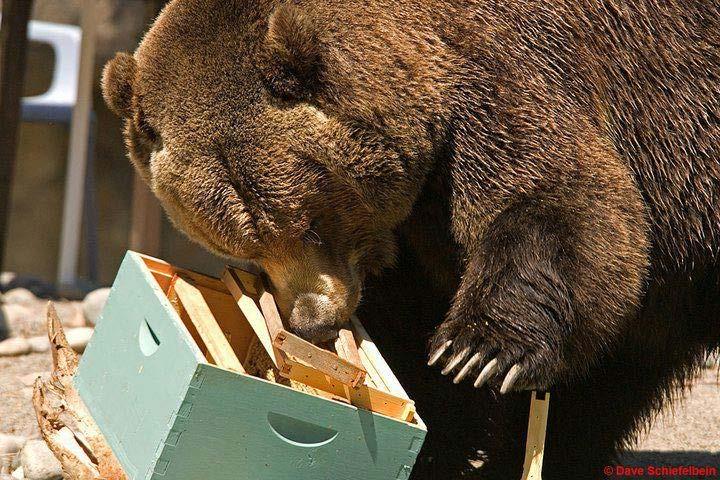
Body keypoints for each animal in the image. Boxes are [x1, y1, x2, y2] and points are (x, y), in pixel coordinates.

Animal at [101, 1, 720, 478]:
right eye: (245, 246)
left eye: (310, 221)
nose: (310, 321)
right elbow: (404, 342)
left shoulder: (513, 75)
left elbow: (555, 198)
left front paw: (478, 352)